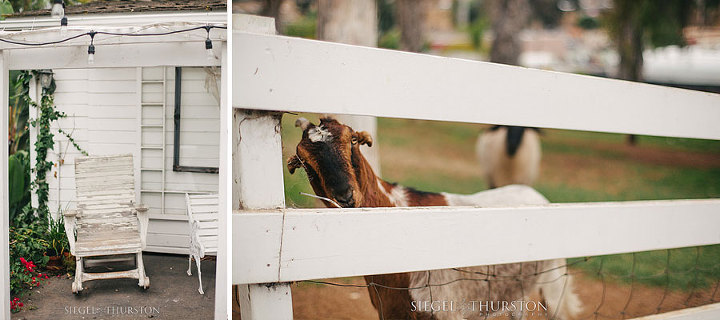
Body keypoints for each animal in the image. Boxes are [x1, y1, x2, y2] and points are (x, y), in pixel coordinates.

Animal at [286, 117, 580, 320]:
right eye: (306, 164)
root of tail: (531, 192)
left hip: (553, 281)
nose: (345, 197)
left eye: (353, 143)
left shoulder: (446, 309)